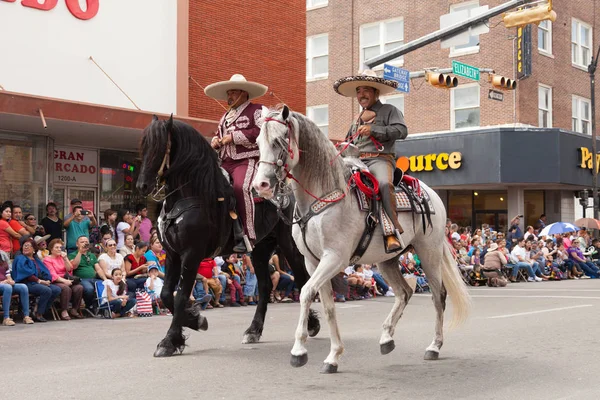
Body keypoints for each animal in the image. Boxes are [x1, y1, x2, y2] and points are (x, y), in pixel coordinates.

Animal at [138, 115, 322, 356]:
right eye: (143, 146)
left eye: (159, 146)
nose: (142, 185)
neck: (192, 194)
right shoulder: (172, 254)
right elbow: (167, 294)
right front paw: (196, 319)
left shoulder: (191, 254)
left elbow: (179, 297)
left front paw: (169, 341)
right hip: (259, 250)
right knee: (265, 287)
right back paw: (253, 330)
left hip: (289, 246)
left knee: (301, 280)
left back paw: (312, 325)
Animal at [251, 104, 472, 374]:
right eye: (258, 142)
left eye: (279, 141)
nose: (260, 185)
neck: (323, 195)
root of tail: (432, 195)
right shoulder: (313, 262)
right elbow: (327, 305)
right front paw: (333, 356)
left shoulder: (334, 258)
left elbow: (305, 292)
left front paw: (299, 351)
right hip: (387, 260)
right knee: (404, 292)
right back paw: (387, 338)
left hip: (428, 253)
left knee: (438, 295)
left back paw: (434, 346)